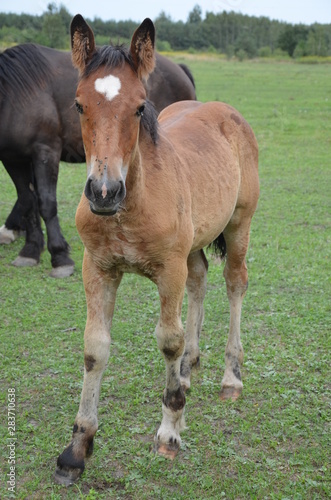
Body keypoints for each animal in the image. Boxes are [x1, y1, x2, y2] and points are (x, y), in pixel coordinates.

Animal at [0, 42, 196, 278]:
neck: (17, 94)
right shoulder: (13, 158)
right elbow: (28, 198)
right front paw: (30, 250)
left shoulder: (45, 151)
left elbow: (46, 202)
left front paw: (59, 256)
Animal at [55, 15, 260, 482]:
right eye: (78, 105)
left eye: (138, 106)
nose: (104, 192)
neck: (130, 208)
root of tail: (225, 110)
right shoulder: (98, 268)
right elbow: (95, 348)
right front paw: (77, 448)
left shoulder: (168, 269)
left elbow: (168, 338)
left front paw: (169, 432)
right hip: (194, 245)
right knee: (200, 280)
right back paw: (188, 369)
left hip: (239, 225)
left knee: (234, 283)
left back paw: (230, 377)